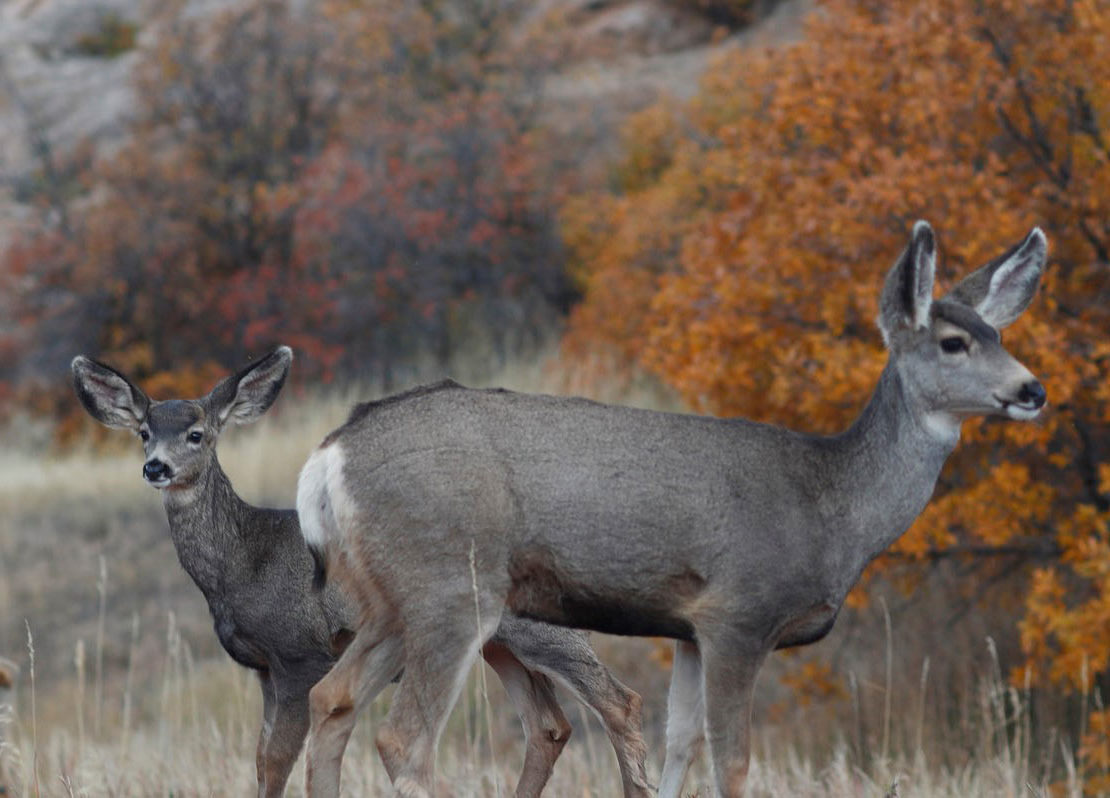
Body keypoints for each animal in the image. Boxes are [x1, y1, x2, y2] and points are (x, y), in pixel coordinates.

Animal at [71, 350, 648, 798]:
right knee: (549, 726)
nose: (156, 467)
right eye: (144, 432)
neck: (242, 562)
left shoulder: (299, 653)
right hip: (499, 644)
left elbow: (276, 762)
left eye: (196, 434)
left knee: (619, 702)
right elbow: (258, 760)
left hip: (545, 630)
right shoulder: (263, 668)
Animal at [301, 219, 1047, 798]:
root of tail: (328, 457)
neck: (831, 507)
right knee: (404, 740)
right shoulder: (739, 615)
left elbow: (680, 744)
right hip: (452, 586)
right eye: (953, 342)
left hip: (392, 601)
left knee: (330, 699)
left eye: (999, 335)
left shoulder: (687, 628)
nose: (1032, 389)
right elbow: (733, 762)